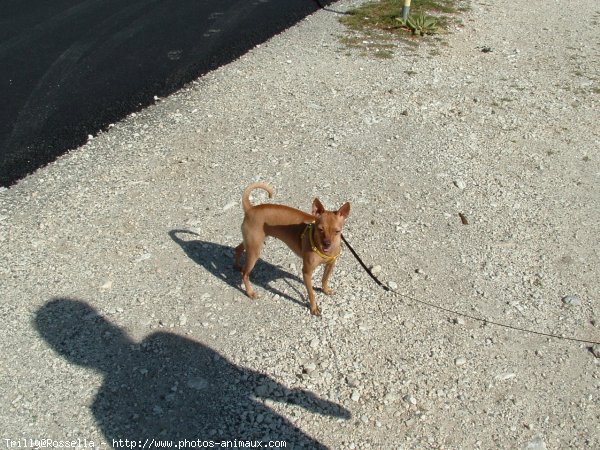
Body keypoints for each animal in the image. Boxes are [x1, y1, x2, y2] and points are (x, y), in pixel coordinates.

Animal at [233, 183, 350, 316]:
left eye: (337, 231)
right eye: (320, 229)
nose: (326, 244)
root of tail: (250, 209)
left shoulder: (330, 265)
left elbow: (324, 279)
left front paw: (325, 290)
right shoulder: (306, 272)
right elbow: (311, 293)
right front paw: (314, 307)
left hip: (250, 244)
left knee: (237, 249)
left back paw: (236, 265)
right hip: (254, 252)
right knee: (245, 274)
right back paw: (250, 292)